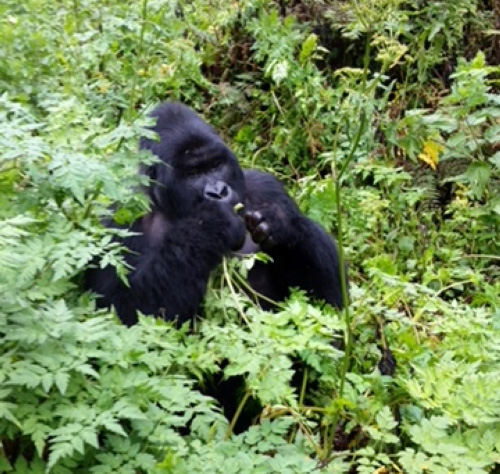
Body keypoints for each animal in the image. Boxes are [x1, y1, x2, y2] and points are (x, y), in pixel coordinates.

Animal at [85, 102, 344, 326]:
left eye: (215, 165)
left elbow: (327, 299)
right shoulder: (118, 221)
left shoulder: (266, 186)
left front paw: (281, 223)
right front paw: (213, 225)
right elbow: (123, 311)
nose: (218, 191)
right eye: (193, 173)